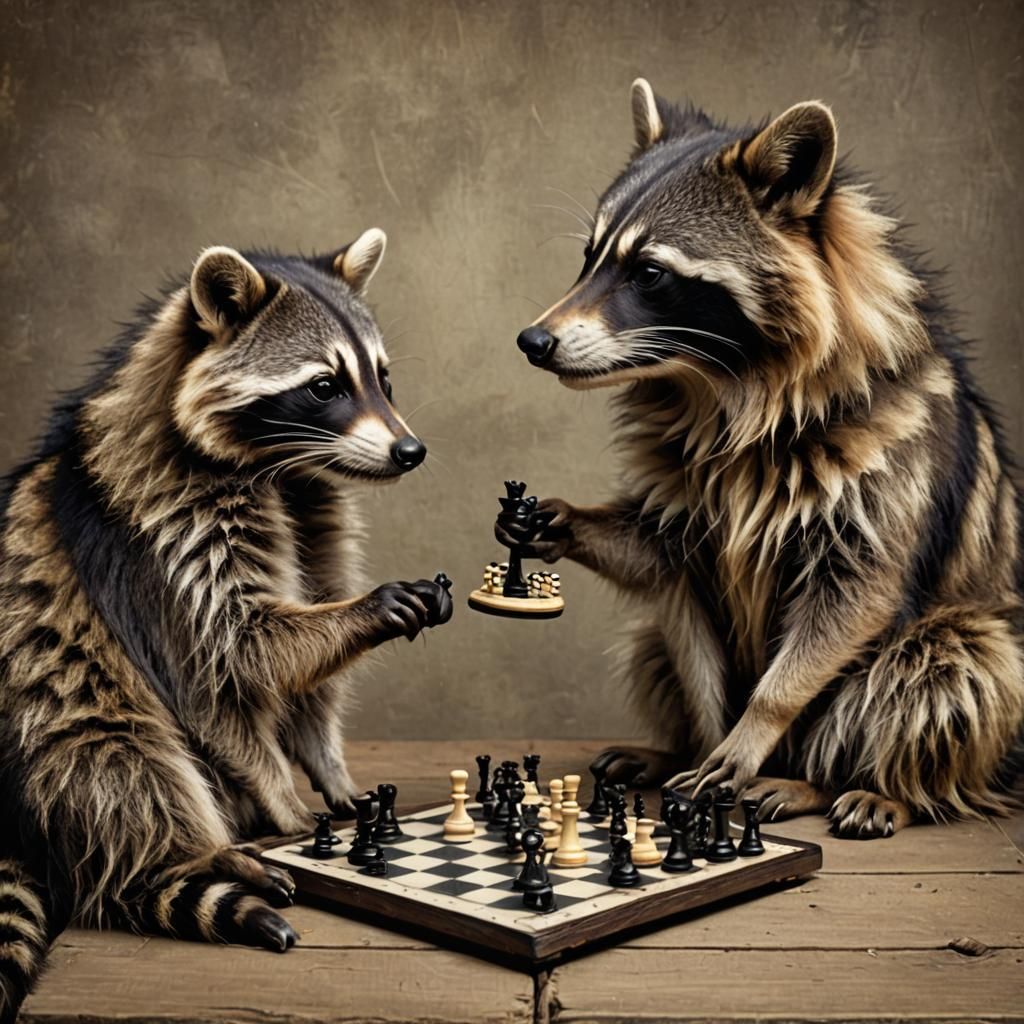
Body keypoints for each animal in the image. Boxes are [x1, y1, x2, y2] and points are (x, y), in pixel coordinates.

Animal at [0, 228, 453, 1019]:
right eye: (325, 385)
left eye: (383, 379)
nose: (410, 451)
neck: (285, 471)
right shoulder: (156, 553)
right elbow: (229, 671)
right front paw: (286, 803)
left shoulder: (316, 521)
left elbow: (309, 685)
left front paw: (330, 769)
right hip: (52, 703)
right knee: (116, 758)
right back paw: (197, 854)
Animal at [504, 79, 1024, 840]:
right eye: (589, 257)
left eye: (650, 273)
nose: (533, 341)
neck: (718, 387)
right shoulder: (682, 484)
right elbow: (656, 555)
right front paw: (563, 520)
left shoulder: (888, 467)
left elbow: (851, 605)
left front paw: (755, 725)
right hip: (668, 643)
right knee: (658, 641)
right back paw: (678, 748)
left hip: (948, 655)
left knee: (947, 666)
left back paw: (866, 785)